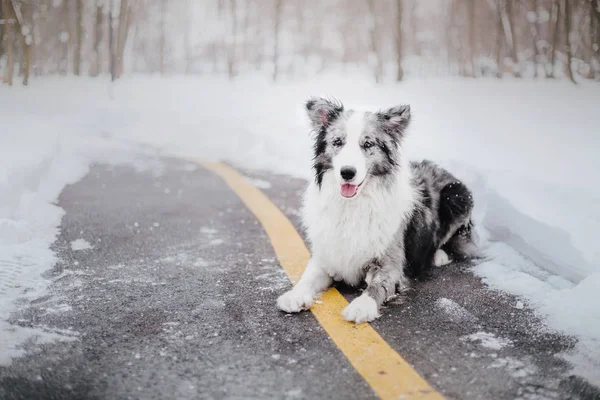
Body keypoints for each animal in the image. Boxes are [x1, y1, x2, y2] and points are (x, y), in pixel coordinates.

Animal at [276, 97, 478, 324]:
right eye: (337, 142)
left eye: (367, 144)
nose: (347, 173)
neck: (352, 205)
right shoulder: (327, 255)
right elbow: (307, 277)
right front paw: (294, 296)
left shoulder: (390, 265)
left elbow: (376, 287)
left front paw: (361, 307)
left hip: (457, 194)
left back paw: (439, 256)